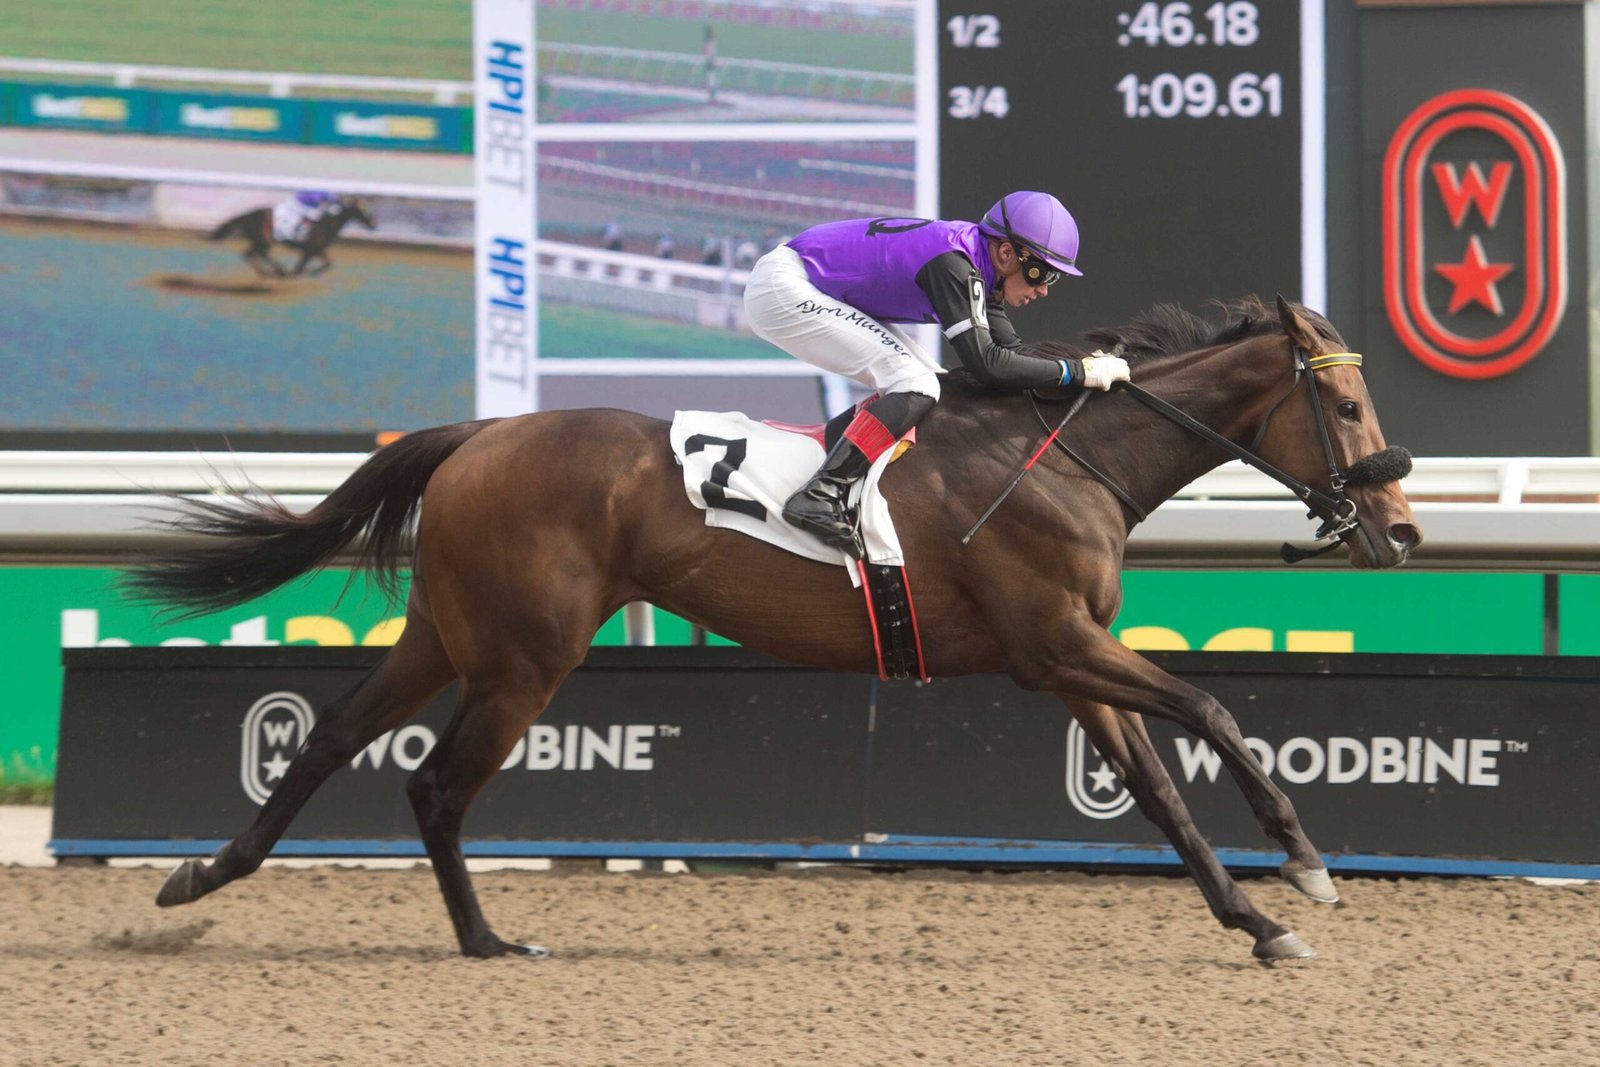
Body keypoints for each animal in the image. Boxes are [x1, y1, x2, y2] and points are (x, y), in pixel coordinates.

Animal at [131, 295, 1420, 966]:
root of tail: (479, 434)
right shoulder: (1052, 645)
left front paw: (1255, 920)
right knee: (436, 783)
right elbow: (1210, 705)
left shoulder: (1070, 664)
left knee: (330, 735)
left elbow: (1155, 790)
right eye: (1347, 401)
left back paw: (203, 874)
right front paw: (1303, 866)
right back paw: (488, 938)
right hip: (523, 657)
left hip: (449, 636)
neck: (1061, 460)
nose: (1401, 528)